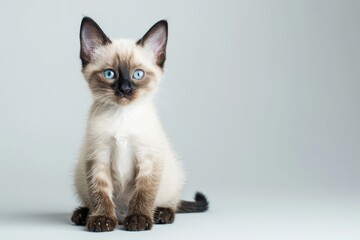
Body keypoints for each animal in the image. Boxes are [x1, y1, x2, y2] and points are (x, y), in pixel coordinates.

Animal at [71, 15, 208, 232]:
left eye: (138, 74)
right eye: (110, 74)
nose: (125, 89)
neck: (122, 115)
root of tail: (121, 214)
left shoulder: (148, 158)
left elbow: (144, 194)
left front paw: (138, 220)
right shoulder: (98, 157)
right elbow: (100, 193)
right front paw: (101, 219)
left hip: (174, 173)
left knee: (172, 203)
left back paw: (161, 214)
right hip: (79, 176)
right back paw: (84, 214)